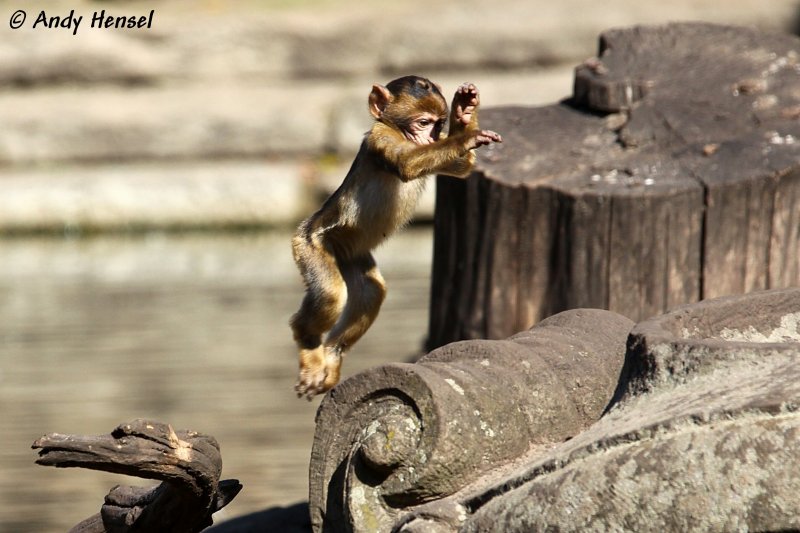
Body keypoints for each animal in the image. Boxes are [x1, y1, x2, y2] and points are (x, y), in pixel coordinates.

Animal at [290, 77, 500, 396]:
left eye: (438, 125)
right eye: (422, 122)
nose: (429, 138)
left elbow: (460, 167)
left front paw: (464, 113)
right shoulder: (381, 138)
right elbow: (407, 164)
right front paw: (468, 137)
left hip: (350, 253)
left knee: (371, 291)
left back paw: (331, 356)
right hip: (311, 244)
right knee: (330, 294)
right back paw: (306, 339)